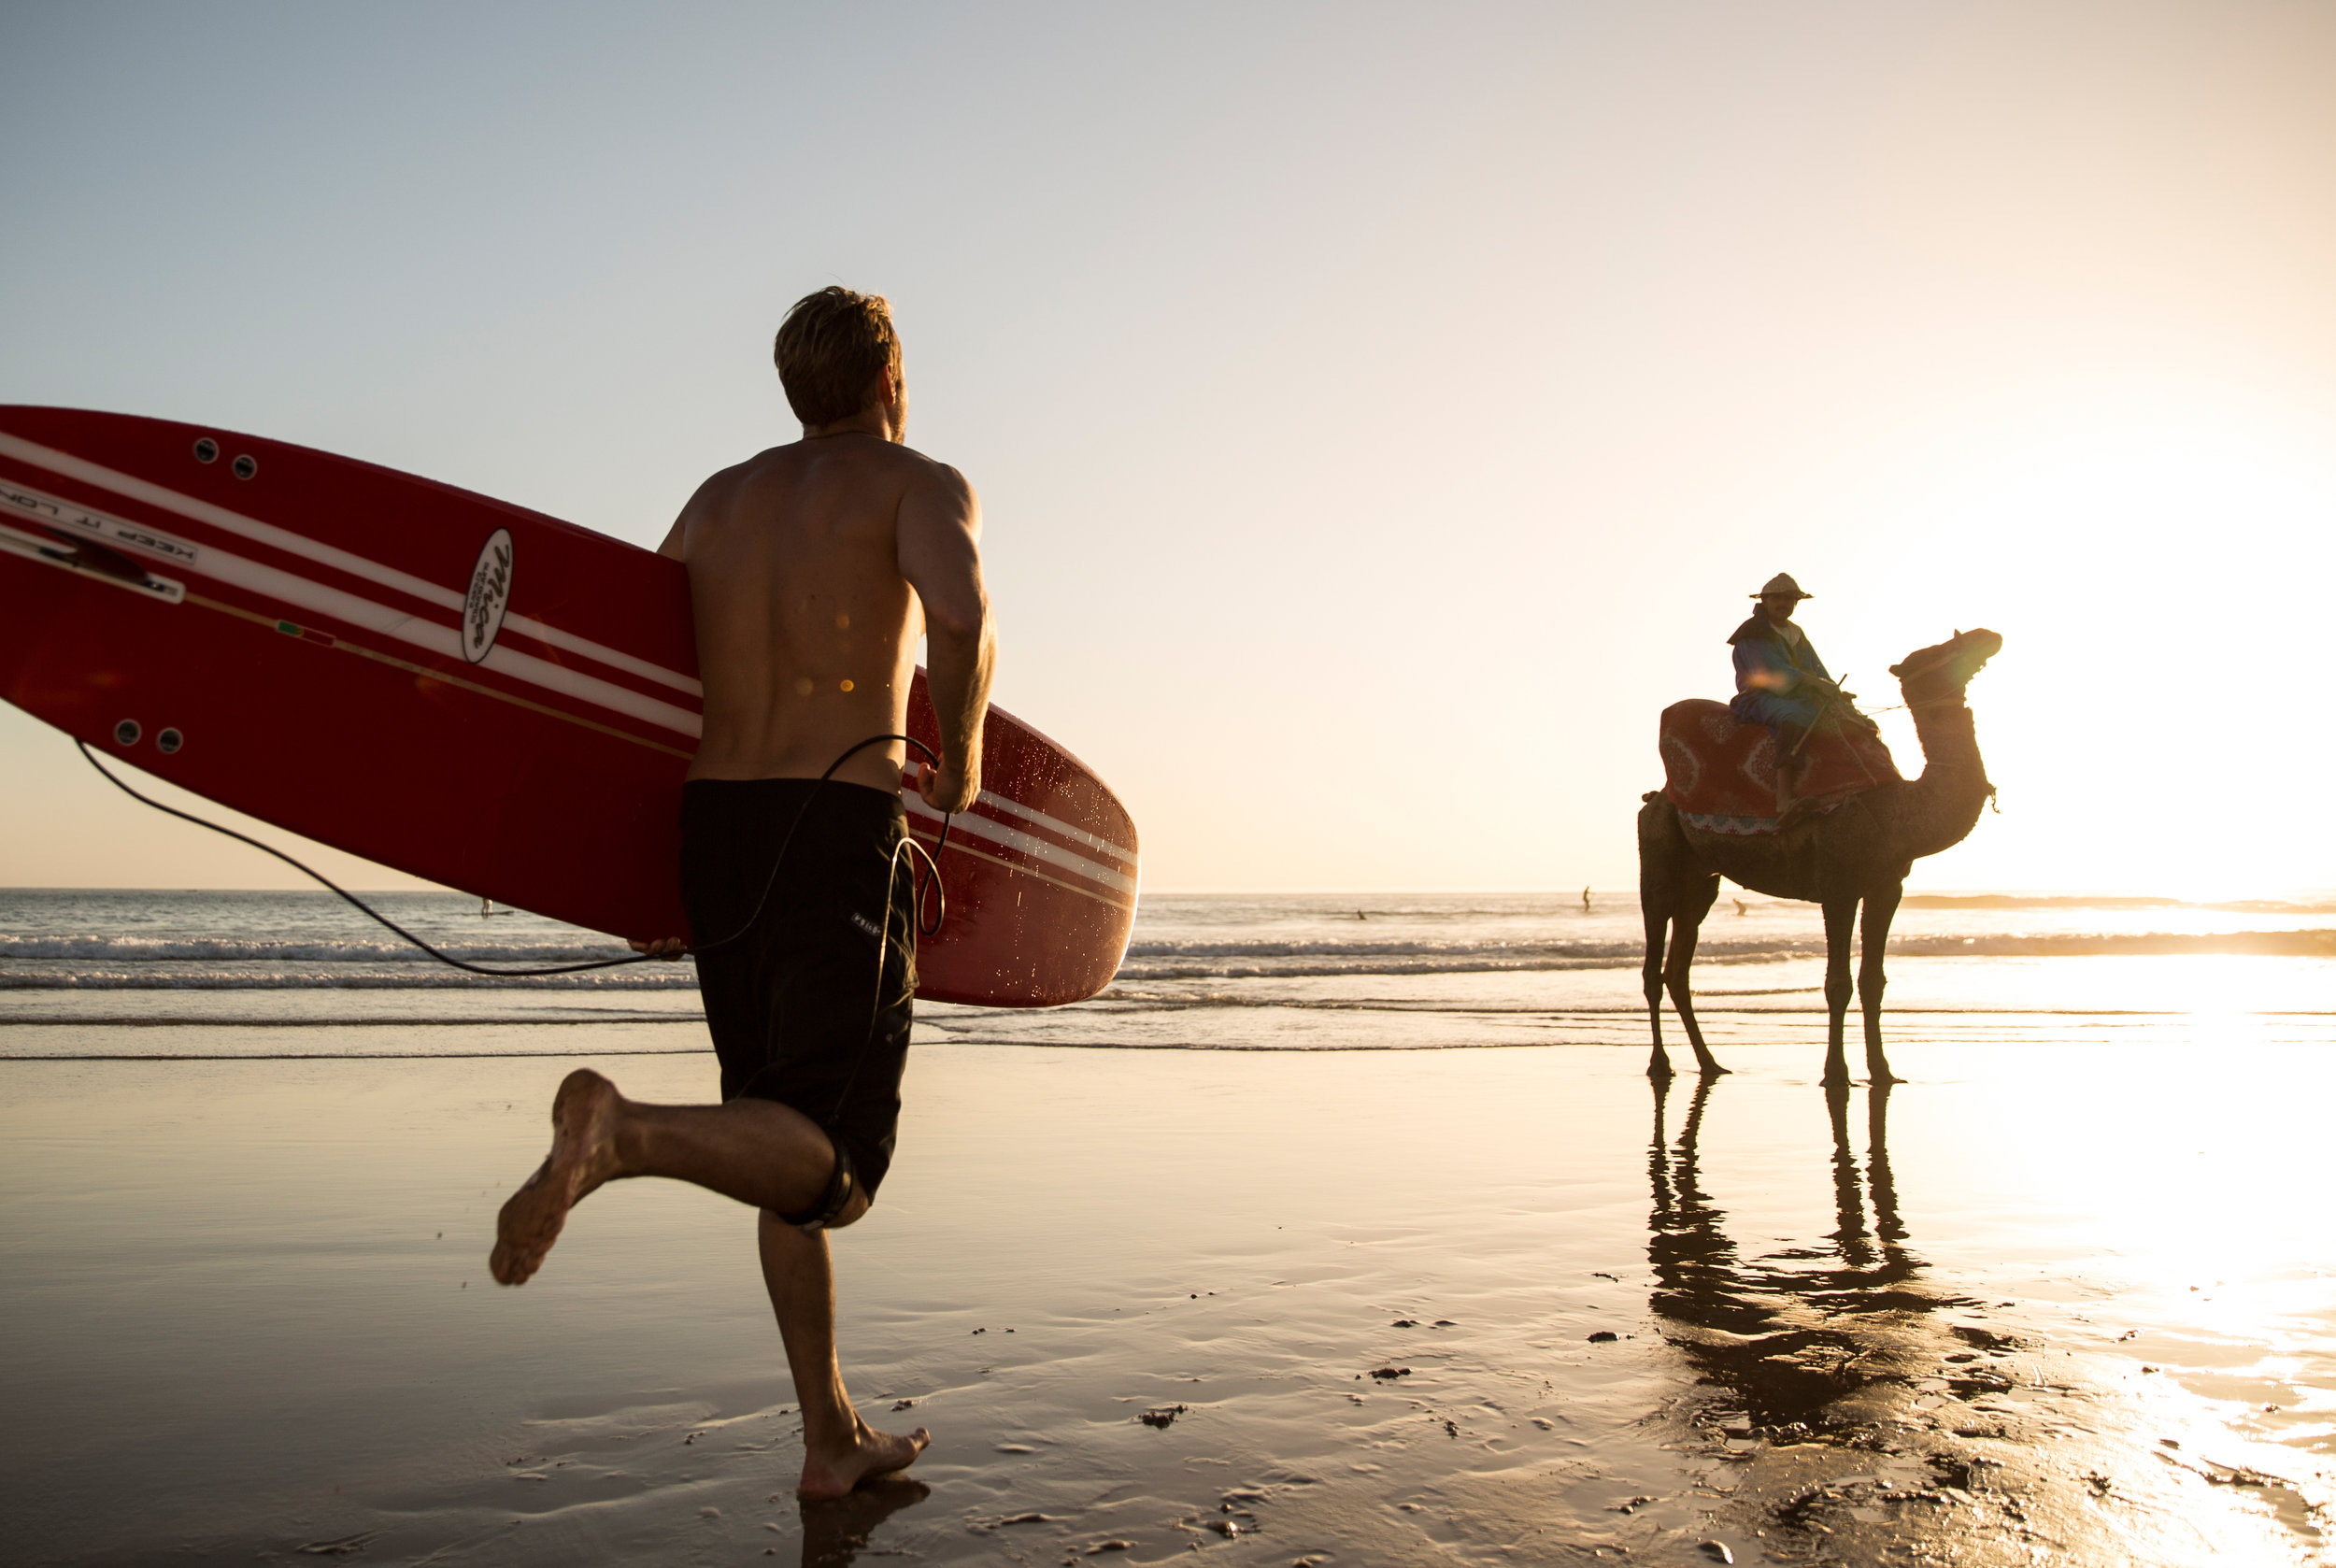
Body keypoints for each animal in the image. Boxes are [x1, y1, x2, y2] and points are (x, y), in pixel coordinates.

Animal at [1635, 621, 2000, 1079]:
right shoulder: (1838, 884)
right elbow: (1837, 984)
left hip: (1701, 878)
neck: (1898, 810)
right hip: (1658, 854)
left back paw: (1711, 1063)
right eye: (1935, 650)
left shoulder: (1887, 886)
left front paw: (1883, 1071)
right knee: (1653, 966)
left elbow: (1873, 982)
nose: (1988, 635)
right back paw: (1660, 1064)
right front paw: (1836, 1074)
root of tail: (1655, 798)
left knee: (1678, 970)